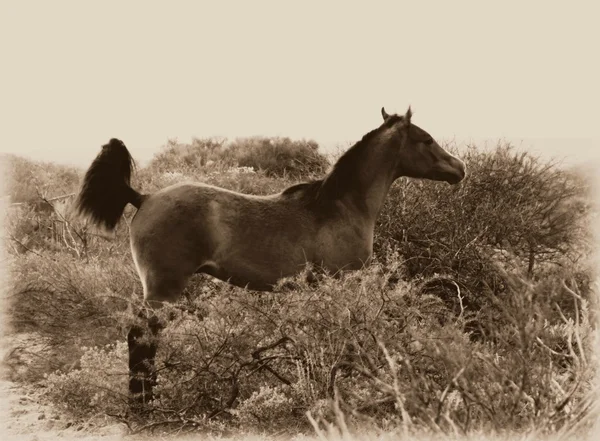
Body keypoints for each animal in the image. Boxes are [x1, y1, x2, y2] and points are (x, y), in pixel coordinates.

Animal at [75, 105, 466, 406]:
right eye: (426, 139)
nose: (460, 168)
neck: (338, 206)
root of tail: (143, 197)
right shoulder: (342, 282)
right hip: (163, 290)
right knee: (141, 337)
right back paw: (143, 404)